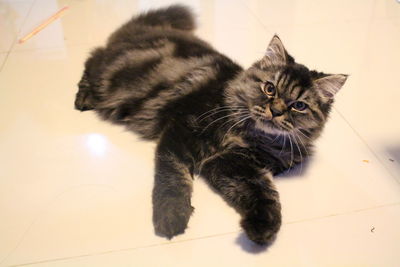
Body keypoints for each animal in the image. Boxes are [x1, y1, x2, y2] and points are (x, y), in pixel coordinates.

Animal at [74, 4, 346, 247]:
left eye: (298, 105)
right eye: (270, 89)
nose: (276, 111)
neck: (248, 132)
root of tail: (143, 28)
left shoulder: (233, 163)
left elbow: (265, 194)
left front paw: (263, 227)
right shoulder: (181, 132)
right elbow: (173, 177)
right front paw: (171, 215)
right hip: (108, 77)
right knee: (91, 58)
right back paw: (83, 98)